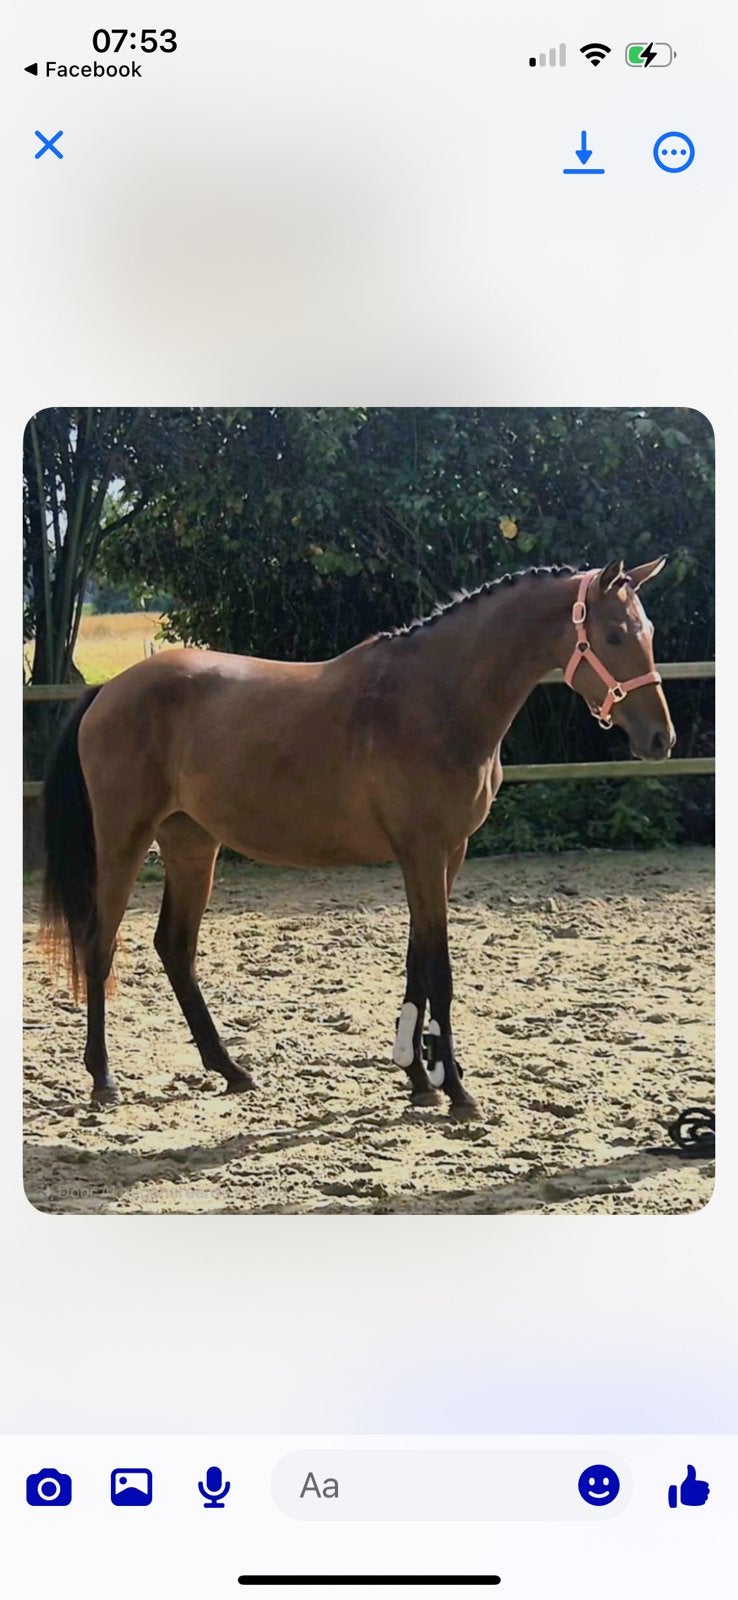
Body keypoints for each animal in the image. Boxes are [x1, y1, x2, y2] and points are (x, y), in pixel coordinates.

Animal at [41, 557, 674, 1119]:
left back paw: (231, 1070)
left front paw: (420, 1076)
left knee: (175, 947)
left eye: (648, 633)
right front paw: (456, 1090)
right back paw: (103, 1078)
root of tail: (108, 691)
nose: (660, 738)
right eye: (614, 635)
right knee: (100, 943)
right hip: (123, 840)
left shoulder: (446, 855)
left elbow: (417, 961)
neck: (435, 697)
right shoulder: (424, 852)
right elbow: (439, 970)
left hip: (192, 844)